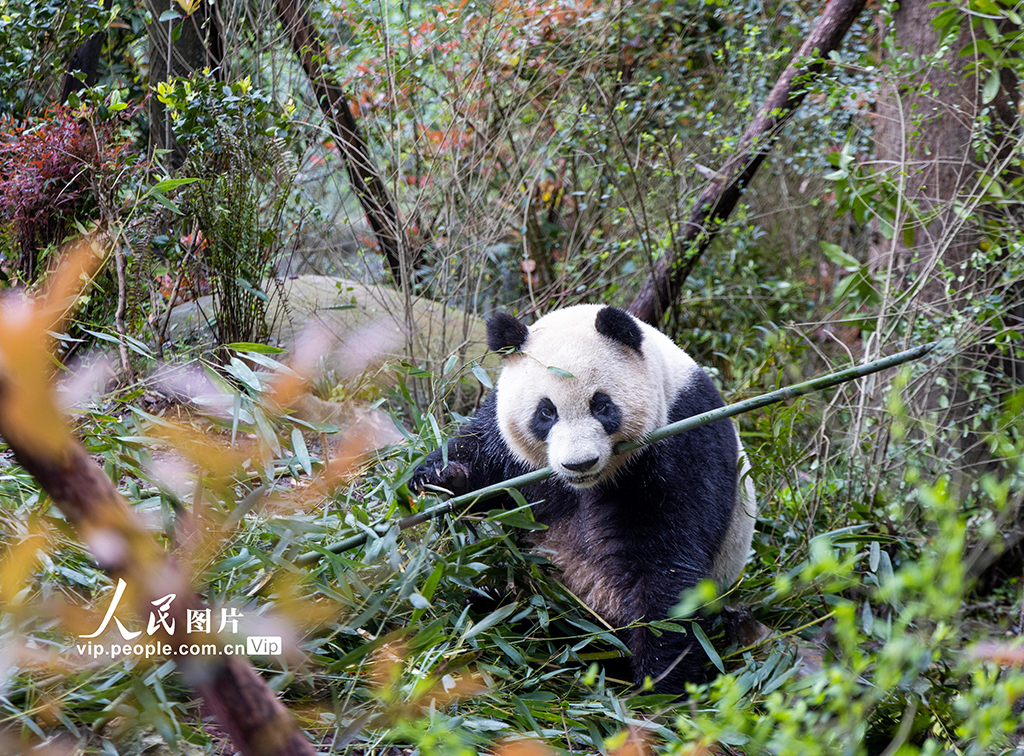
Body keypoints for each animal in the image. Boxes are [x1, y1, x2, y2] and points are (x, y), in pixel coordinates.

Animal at [411, 301, 757, 688]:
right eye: (546, 412)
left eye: (601, 405)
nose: (579, 463)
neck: (589, 485)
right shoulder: (509, 448)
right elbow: (482, 463)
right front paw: (442, 476)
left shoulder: (684, 439)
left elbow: (669, 563)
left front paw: (659, 682)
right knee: (494, 597)